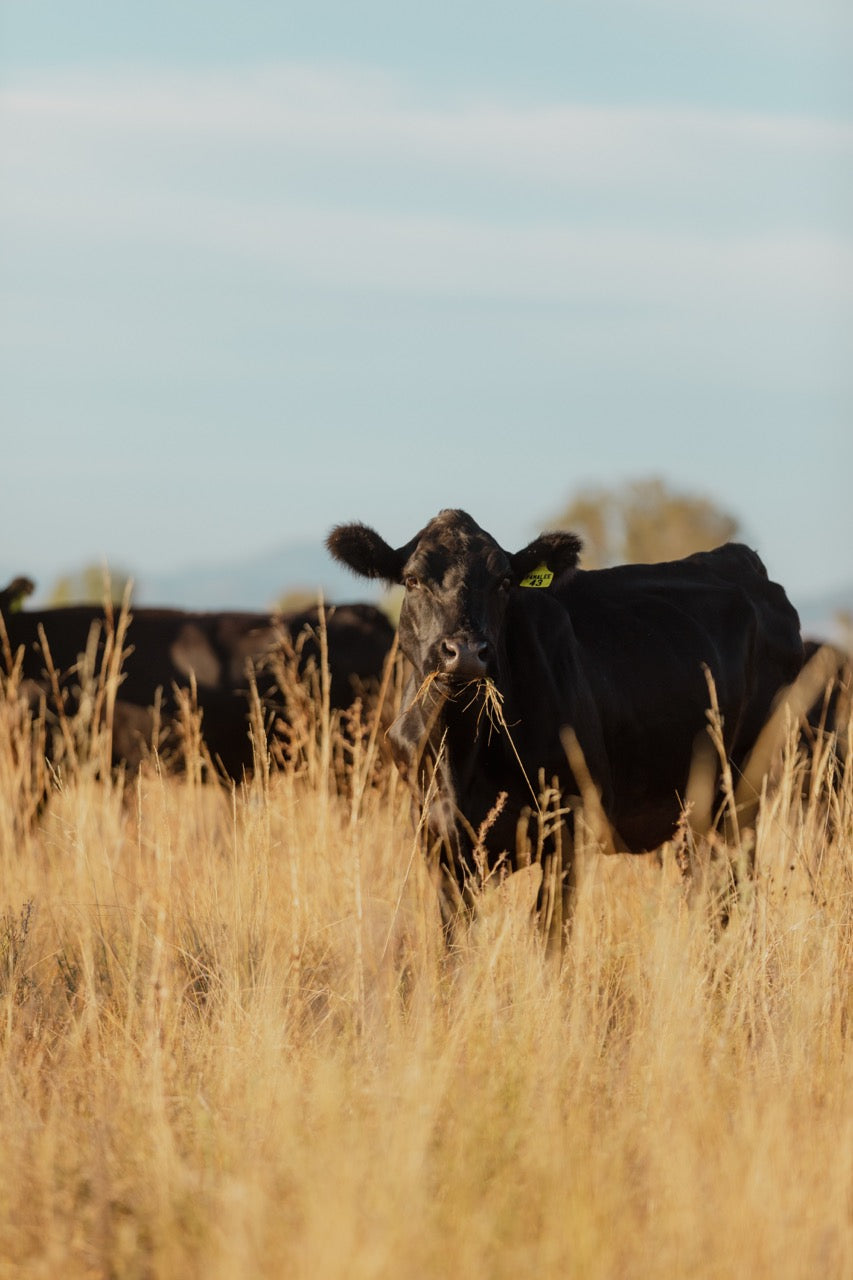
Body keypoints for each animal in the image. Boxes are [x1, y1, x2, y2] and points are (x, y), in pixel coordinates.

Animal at [327, 508, 804, 905]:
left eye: (504, 582)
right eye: (412, 580)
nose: (465, 653)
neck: (462, 749)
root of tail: (738, 559)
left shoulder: (570, 829)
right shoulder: (438, 838)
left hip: (742, 795)